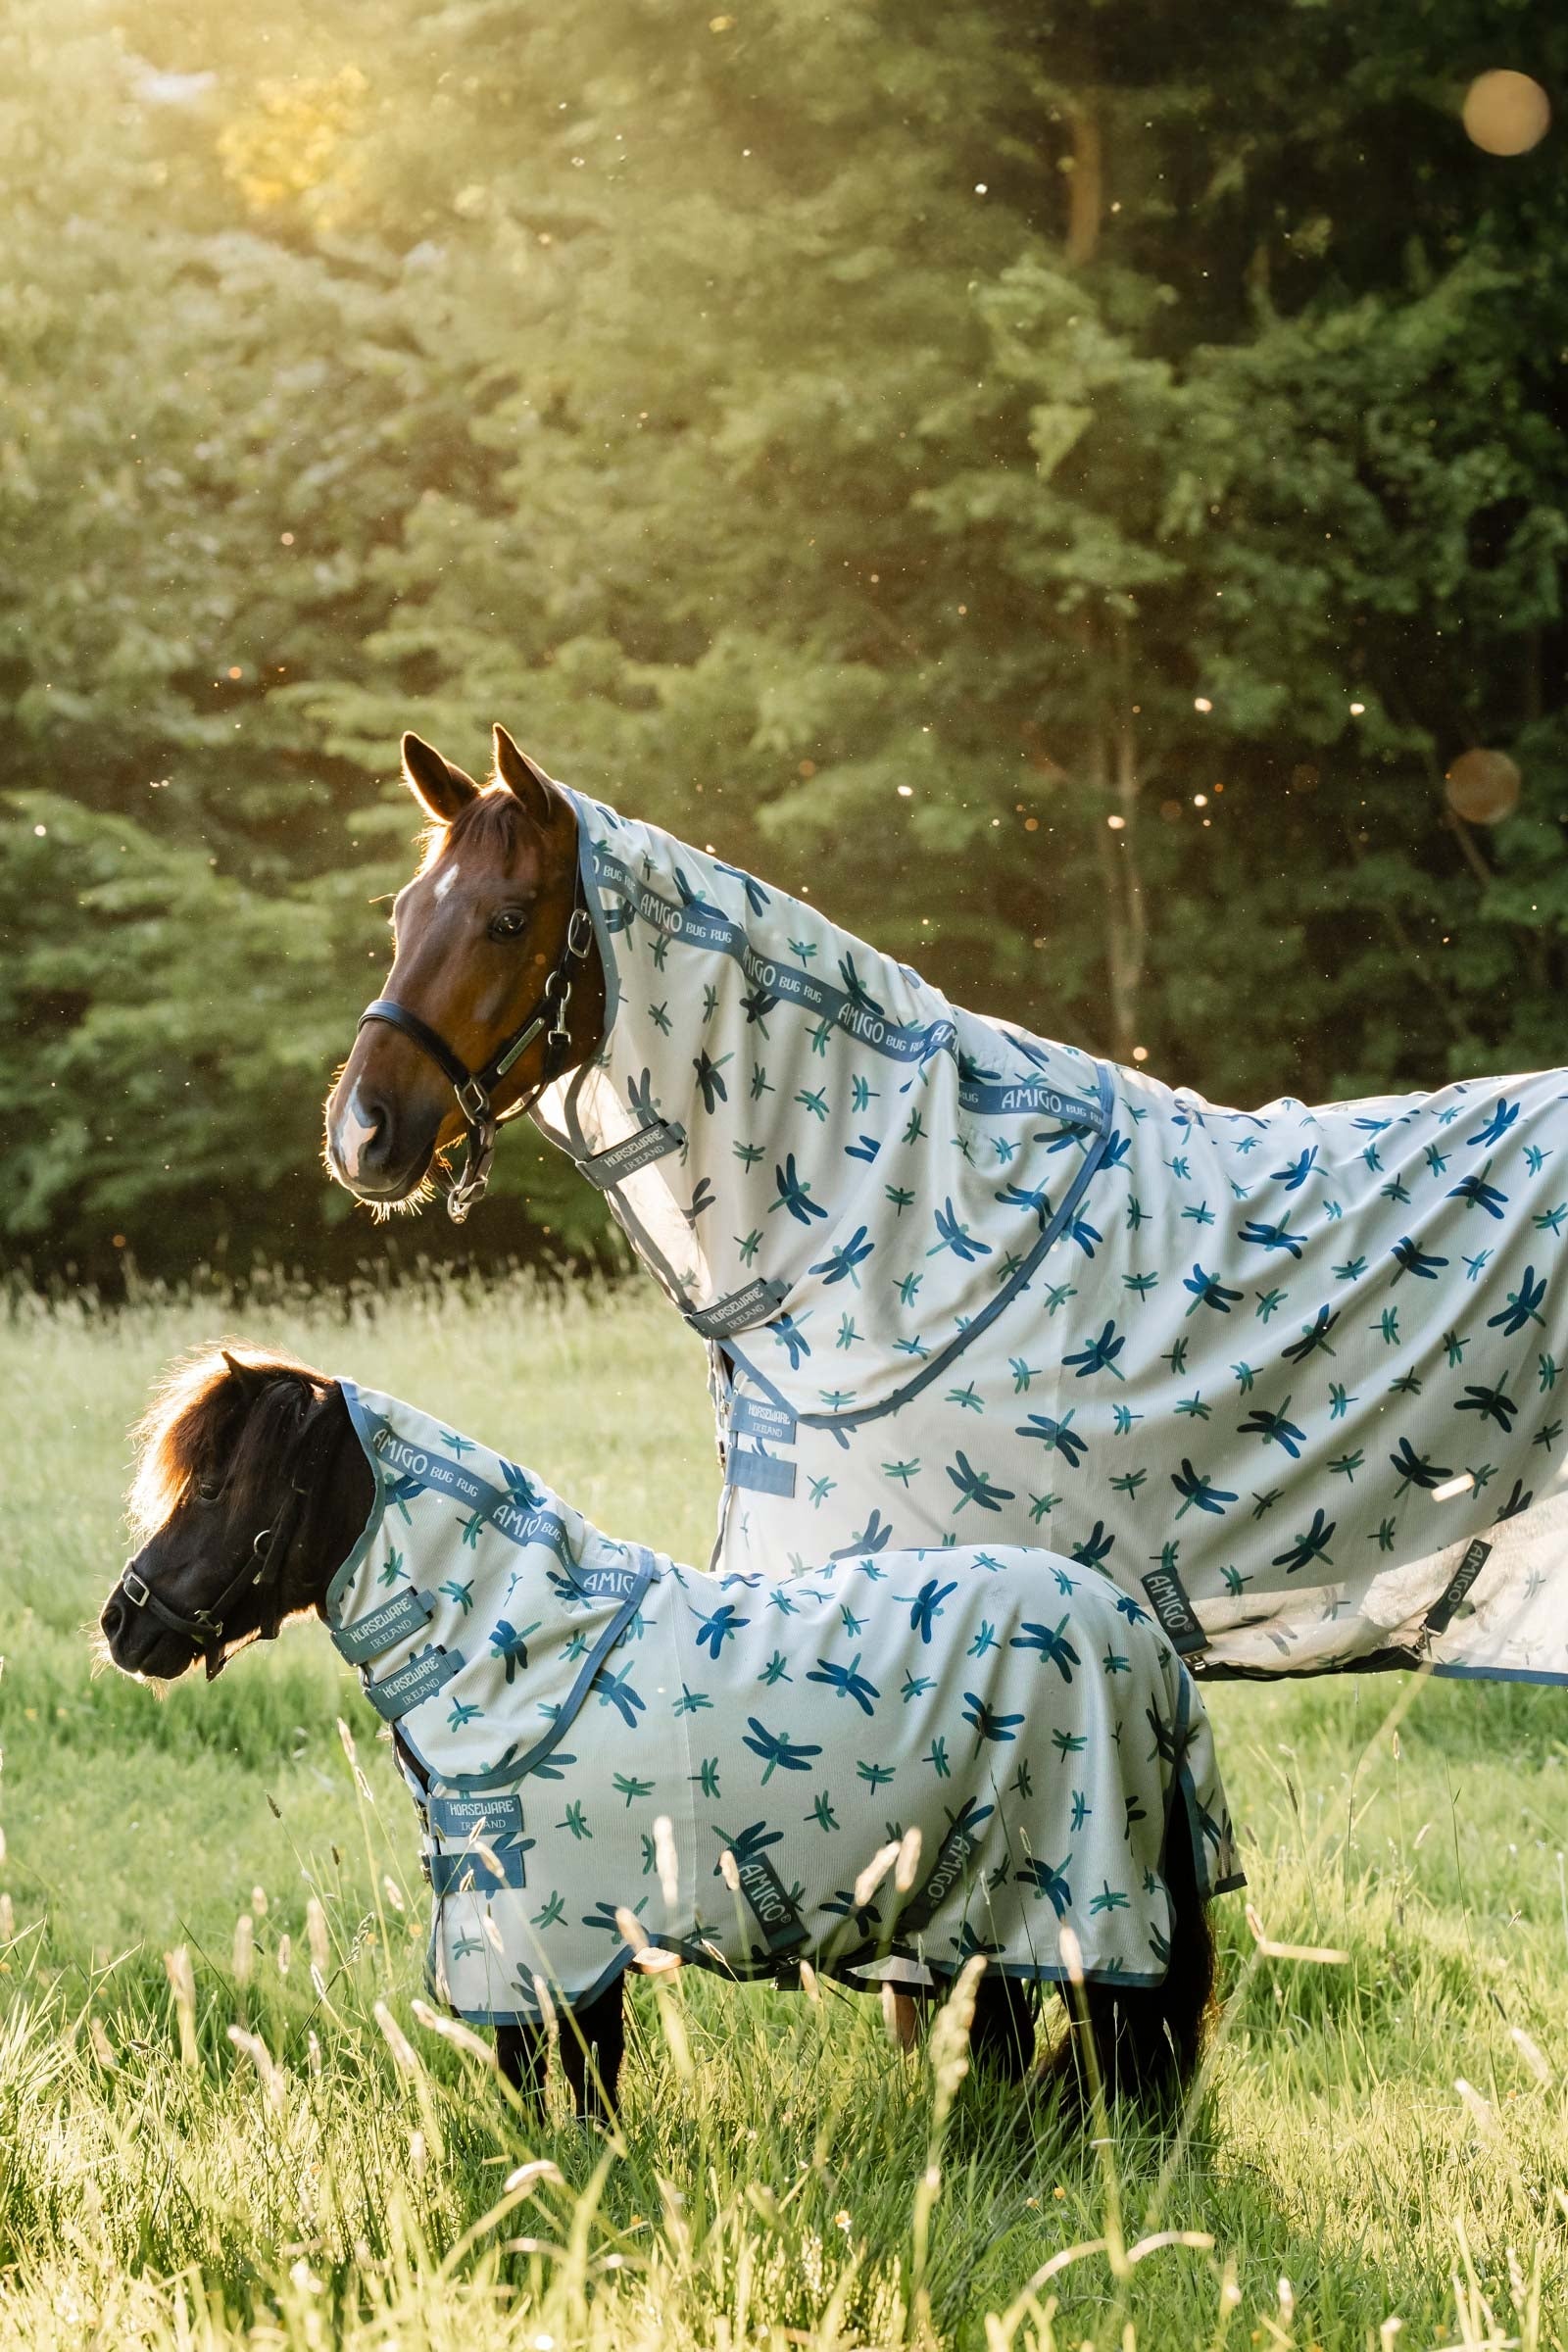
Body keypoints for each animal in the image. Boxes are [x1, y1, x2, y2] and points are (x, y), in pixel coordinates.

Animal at [99, 1345, 1237, 2123]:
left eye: (214, 1486)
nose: (123, 1623)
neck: (526, 1653)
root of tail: (1144, 1644)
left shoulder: (548, 1937)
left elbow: (553, 2078)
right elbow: (580, 2080)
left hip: (1066, 1907)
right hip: (981, 1920)